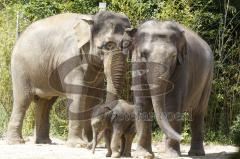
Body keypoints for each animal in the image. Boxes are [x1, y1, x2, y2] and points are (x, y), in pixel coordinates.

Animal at [7, 11, 131, 147]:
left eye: (128, 45)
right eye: (107, 45)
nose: (92, 144)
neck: (91, 19)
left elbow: (93, 97)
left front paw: (87, 142)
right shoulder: (69, 57)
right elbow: (77, 94)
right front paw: (78, 145)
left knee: (45, 103)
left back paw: (44, 142)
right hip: (20, 69)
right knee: (23, 100)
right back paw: (16, 142)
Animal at [129, 20, 214, 158]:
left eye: (173, 56)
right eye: (143, 54)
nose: (182, 137)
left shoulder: (183, 66)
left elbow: (173, 104)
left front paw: (172, 155)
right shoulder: (136, 65)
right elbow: (143, 102)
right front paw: (143, 155)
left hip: (208, 77)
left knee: (198, 112)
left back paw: (196, 153)